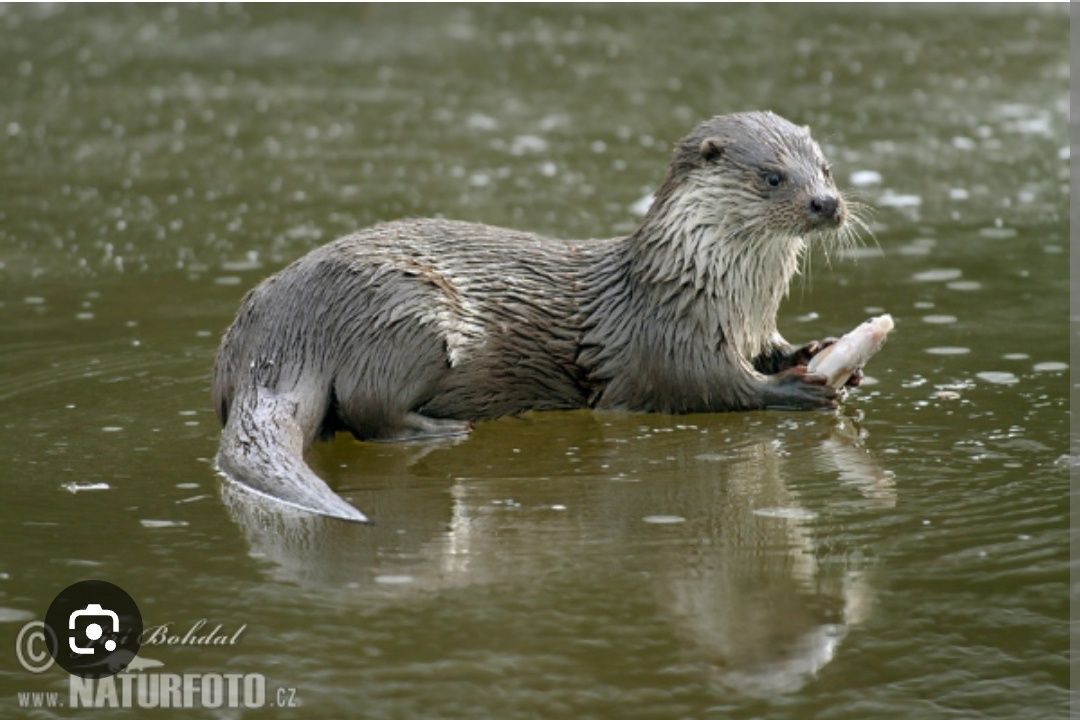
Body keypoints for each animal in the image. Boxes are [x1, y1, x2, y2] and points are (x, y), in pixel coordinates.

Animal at [214, 110, 864, 520]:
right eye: (772, 176)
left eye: (827, 169)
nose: (826, 204)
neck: (714, 288)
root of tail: (275, 335)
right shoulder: (665, 338)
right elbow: (706, 384)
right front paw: (795, 388)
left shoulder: (749, 326)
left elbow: (768, 351)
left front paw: (820, 355)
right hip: (408, 313)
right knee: (372, 409)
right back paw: (440, 430)